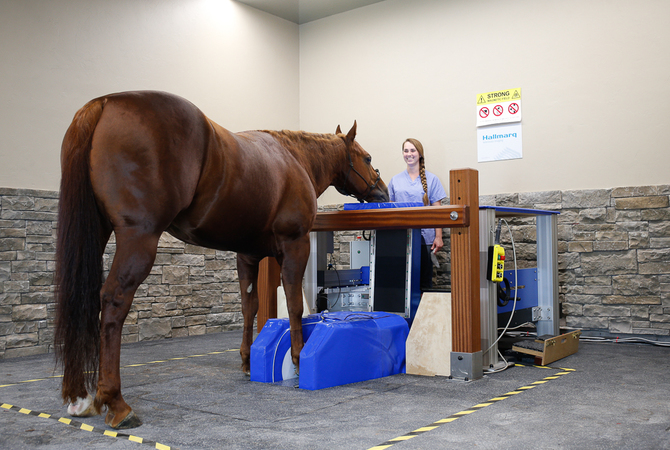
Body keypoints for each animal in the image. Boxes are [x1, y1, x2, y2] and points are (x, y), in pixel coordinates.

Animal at [55, 89, 392, 428]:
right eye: (367, 158)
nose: (383, 193)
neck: (295, 158)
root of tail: (105, 103)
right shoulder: (294, 246)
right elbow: (295, 303)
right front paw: (297, 357)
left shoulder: (248, 256)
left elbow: (249, 306)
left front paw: (247, 360)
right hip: (139, 238)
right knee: (113, 301)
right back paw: (116, 401)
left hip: (96, 232)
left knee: (79, 299)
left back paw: (78, 396)